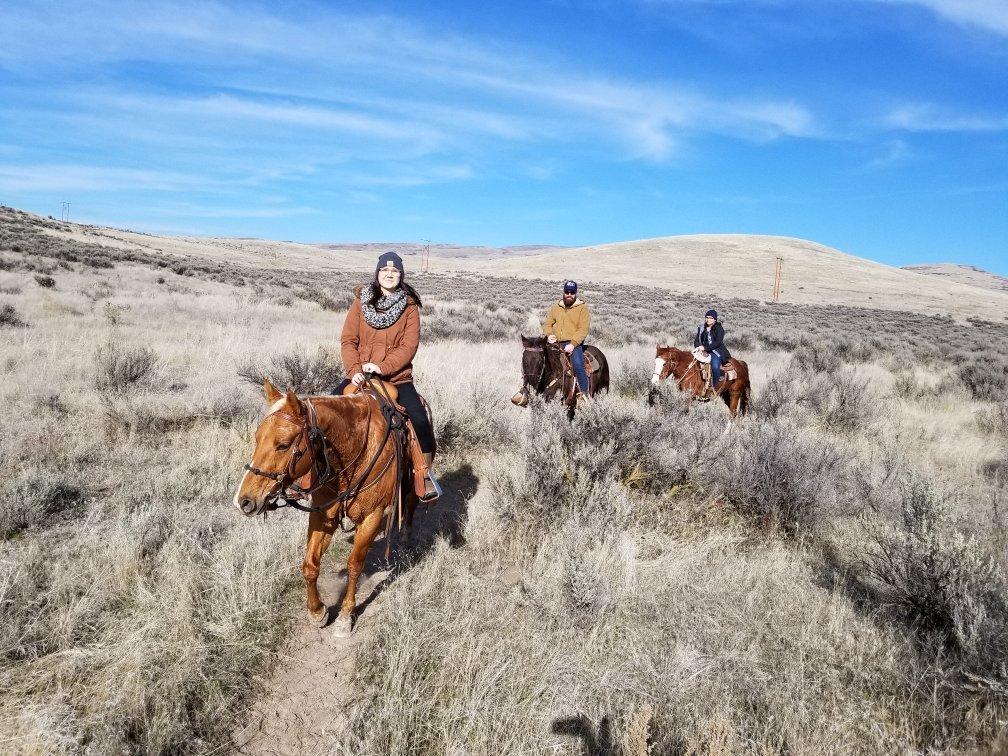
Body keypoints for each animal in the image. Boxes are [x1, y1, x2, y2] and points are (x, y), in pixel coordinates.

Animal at [233, 381, 419, 637]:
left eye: (283, 445)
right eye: (257, 438)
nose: (244, 501)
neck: (354, 450)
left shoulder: (371, 516)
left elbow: (354, 565)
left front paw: (345, 616)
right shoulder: (322, 514)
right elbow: (310, 565)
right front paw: (317, 612)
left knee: (411, 502)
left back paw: (407, 535)